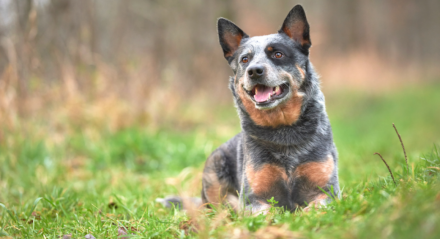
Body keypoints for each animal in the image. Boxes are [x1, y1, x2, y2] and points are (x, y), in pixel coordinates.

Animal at [158, 4, 340, 213]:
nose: (254, 70)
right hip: (215, 166)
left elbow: (315, 209)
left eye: (278, 54)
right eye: (245, 59)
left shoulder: (327, 192)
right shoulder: (255, 198)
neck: (283, 129)